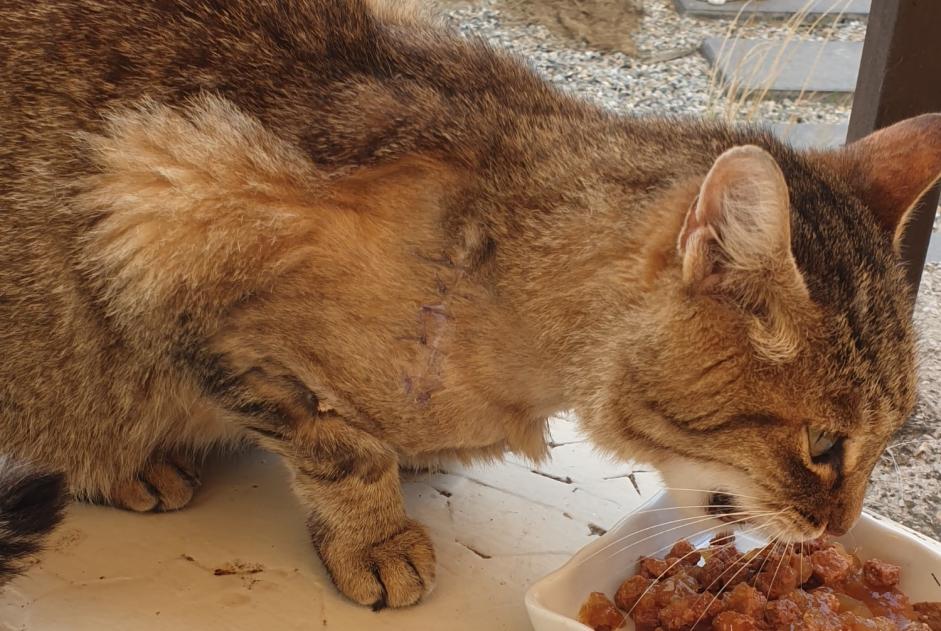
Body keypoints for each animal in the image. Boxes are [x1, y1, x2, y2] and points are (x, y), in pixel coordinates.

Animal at [3, 0, 936, 612]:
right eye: (822, 445)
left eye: (889, 436)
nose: (843, 527)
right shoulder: (157, 212)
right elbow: (338, 447)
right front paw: (374, 533)